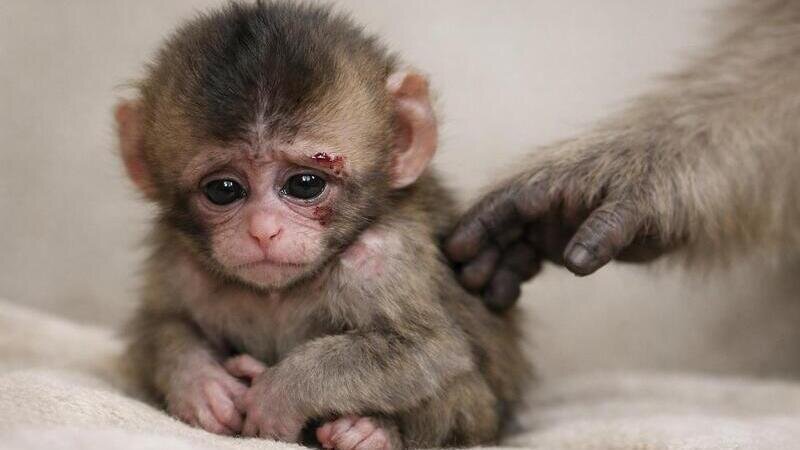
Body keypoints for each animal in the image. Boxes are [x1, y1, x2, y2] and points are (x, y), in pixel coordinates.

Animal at [115, 2, 529, 449]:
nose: (263, 230)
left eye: (305, 184)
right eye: (223, 189)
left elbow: (432, 349)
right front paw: (199, 383)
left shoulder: (385, 256)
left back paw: (369, 432)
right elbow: (158, 325)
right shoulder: (177, 260)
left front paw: (281, 392)